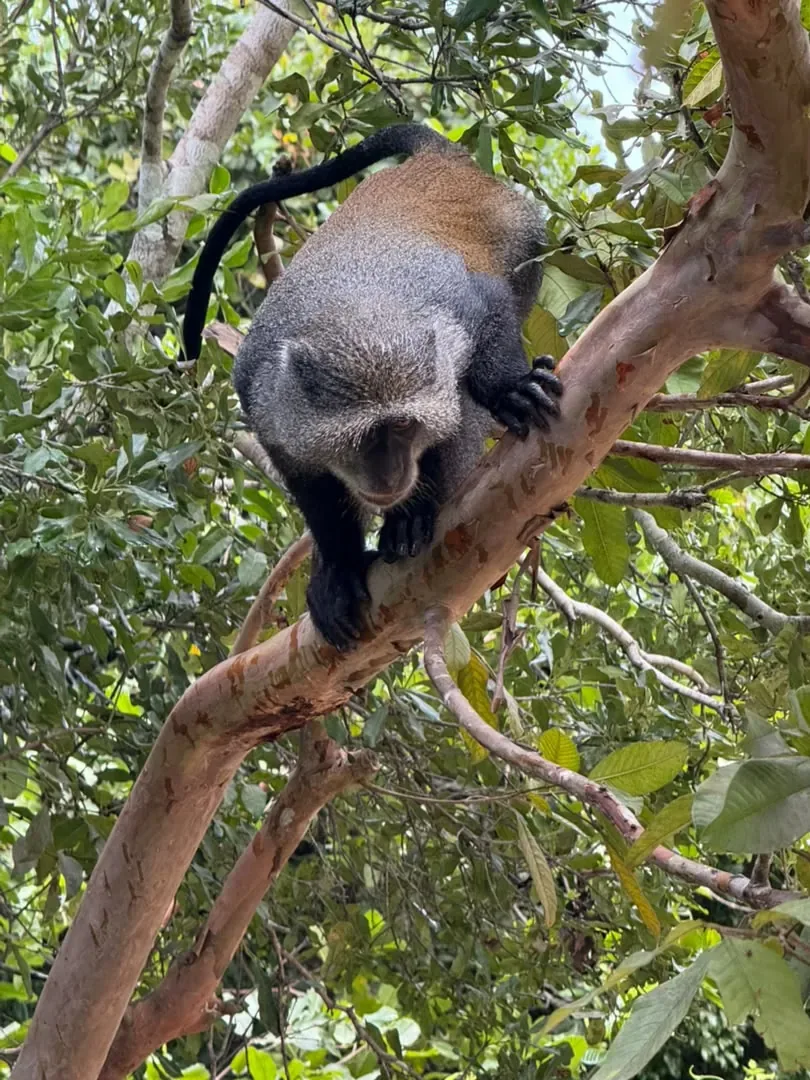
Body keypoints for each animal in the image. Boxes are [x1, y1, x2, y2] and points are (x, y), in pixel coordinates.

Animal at [183, 123, 563, 651]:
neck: (354, 311)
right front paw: (339, 569)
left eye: (403, 428)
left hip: (522, 234)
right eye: (363, 437)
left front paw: (509, 390)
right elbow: (309, 483)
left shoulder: (456, 318)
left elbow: (488, 318)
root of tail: (435, 158)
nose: (391, 475)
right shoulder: (265, 398)